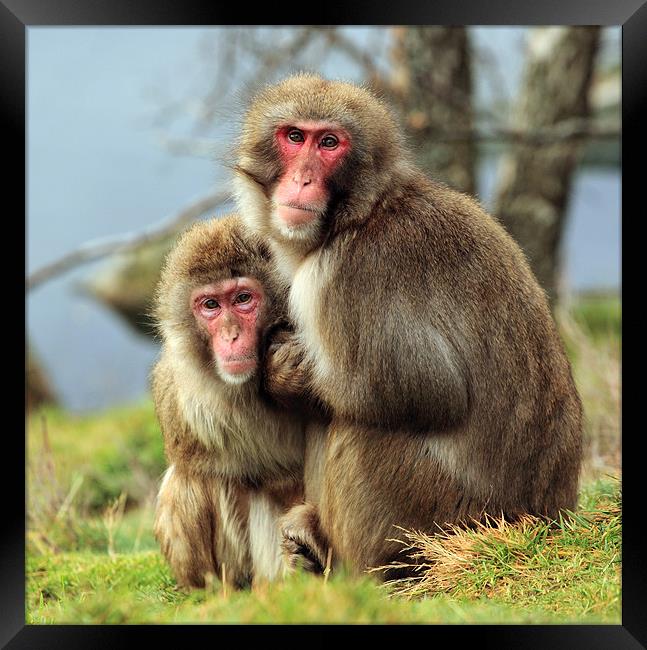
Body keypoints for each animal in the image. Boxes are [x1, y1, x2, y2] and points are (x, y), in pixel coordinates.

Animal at [234, 73, 588, 576]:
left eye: (329, 143)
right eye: (295, 137)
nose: (302, 178)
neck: (361, 214)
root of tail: (545, 519)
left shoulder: (347, 278)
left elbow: (422, 388)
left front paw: (283, 375)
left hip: (444, 514)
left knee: (357, 426)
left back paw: (363, 568)